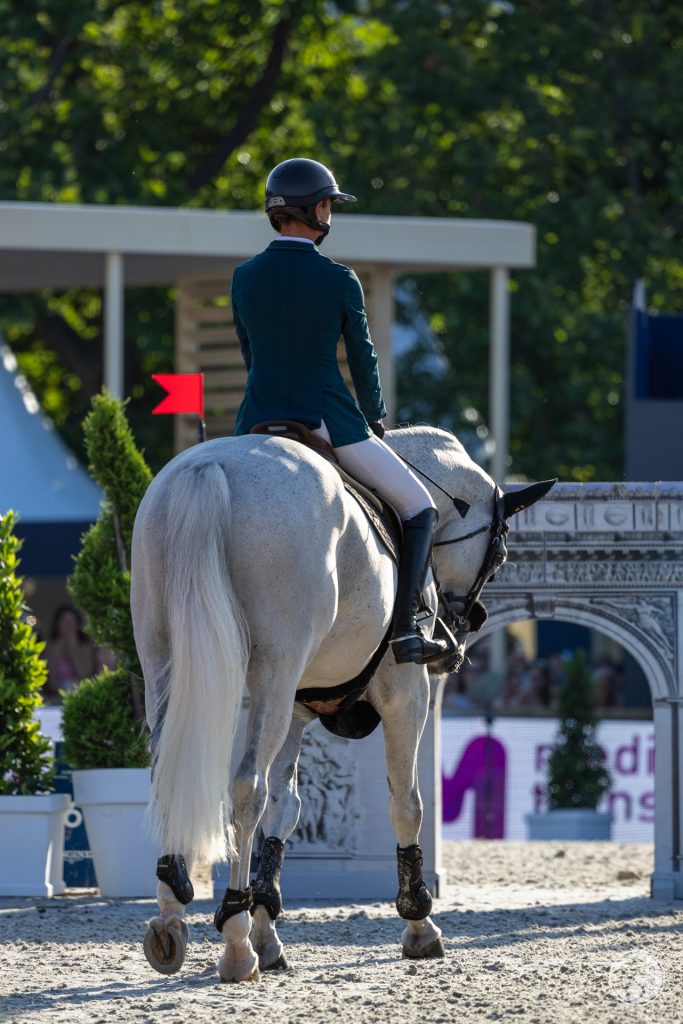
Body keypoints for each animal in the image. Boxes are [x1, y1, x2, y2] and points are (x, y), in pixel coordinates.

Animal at [131, 425, 552, 983]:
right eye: (500, 554)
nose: (469, 624)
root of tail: (210, 468)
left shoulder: (296, 707)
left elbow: (286, 807)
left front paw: (269, 929)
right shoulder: (405, 694)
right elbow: (407, 804)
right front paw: (419, 924)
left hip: (166, 663)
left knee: (176, 774)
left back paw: (171, 914)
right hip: (273, 674)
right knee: (245, 788)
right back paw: (235, 939)